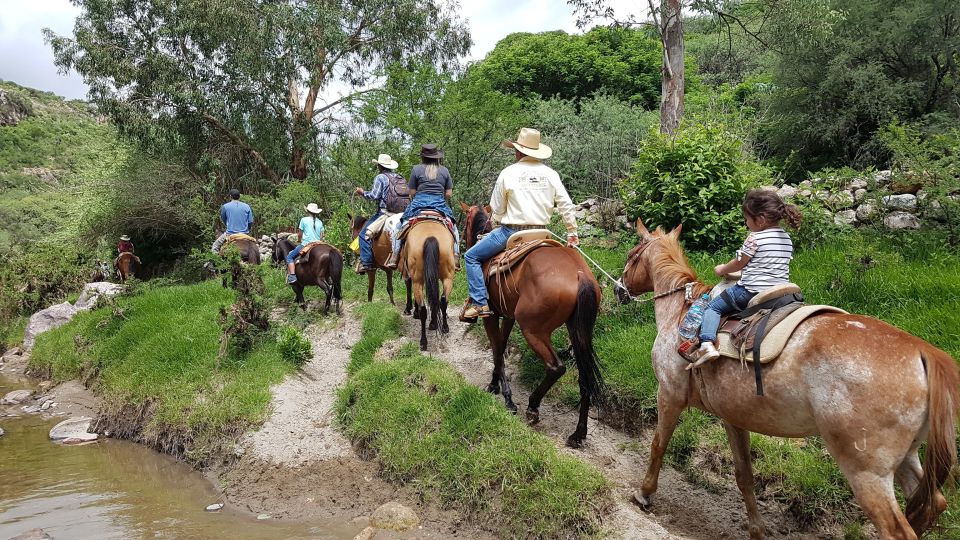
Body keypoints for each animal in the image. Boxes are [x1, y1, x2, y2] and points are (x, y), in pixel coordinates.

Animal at [400, 219, 456, 350]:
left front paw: (411, 310)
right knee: (442, 301)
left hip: (417, 279)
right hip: (448, 277)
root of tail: (430, 237)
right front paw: (434, 323)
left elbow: (409, 285)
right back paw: (444, 327)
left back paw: (423, 341)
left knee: (423, 309)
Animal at [462, 205, 604, 450]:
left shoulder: (491, 315)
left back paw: (533, 407)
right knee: (585, 377)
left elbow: (497, 350)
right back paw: (578, 434)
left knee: (556, 367)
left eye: (465, 222)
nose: (462, 243)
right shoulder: (508, 316)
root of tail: (579, 274)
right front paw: (496, 385)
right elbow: (501, 346)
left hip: (533, 330)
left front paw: (506, 397)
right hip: (579, 332)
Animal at [620, 220, 956, 540]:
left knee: (897, 529)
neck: (682, 310)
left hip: (867, 472)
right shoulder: (733, 417)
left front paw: (644, 493)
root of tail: (924, 353)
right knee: (932, 503)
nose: (619, 289)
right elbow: (744, 475)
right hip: (907, 456)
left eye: (631, 255)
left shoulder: (670, 394)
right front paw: (757, 530)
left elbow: (658, 445)